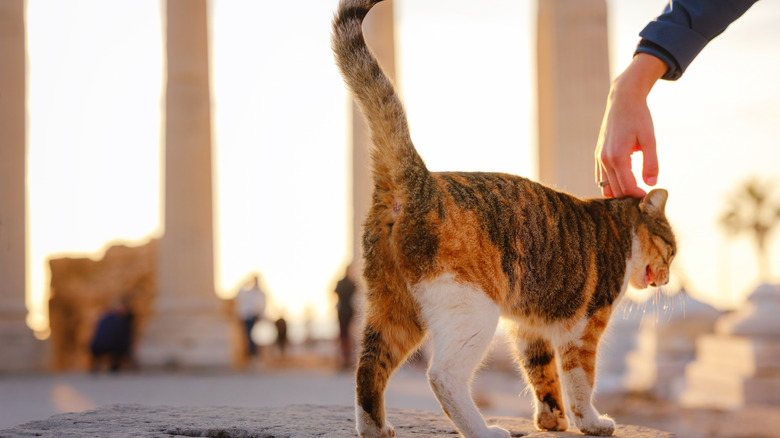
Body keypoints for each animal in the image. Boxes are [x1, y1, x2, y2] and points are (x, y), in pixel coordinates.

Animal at [330, 1, 676, 436]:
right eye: (672, 252)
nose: (668, 278)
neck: (617, 226)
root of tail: (419, 180)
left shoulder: (529, 327)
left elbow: (542, 373)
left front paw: (552, 420)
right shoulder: (582, 330)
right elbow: (581, 381)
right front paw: (591, 422)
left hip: (394, 305)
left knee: (368, 366)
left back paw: (376, 428)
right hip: (473, 308)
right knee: (441, 375)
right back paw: (482, 430)